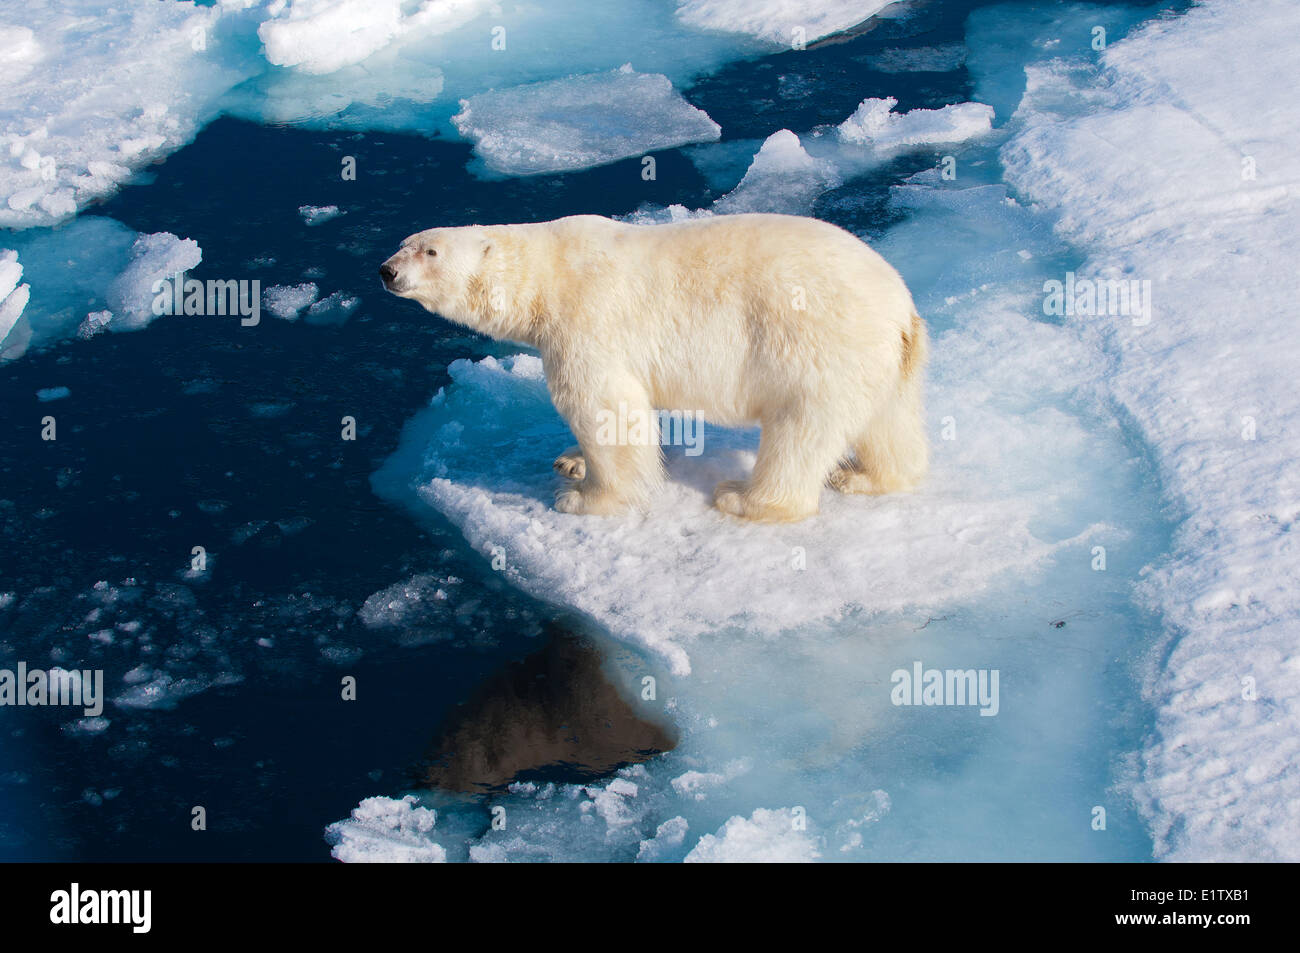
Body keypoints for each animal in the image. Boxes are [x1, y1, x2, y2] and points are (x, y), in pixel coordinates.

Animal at [379, 213, 930, 520]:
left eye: (430, 251)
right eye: (403, 242)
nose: (386, 270)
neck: (547, 275)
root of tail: (901, 309)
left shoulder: (588, 318)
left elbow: (604, 408)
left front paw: (582, 499)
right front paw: (571, 461)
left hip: (818, 346)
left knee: (800, 431)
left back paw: (744, 498)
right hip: (884, 359)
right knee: (889, 421)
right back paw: (867, 478)